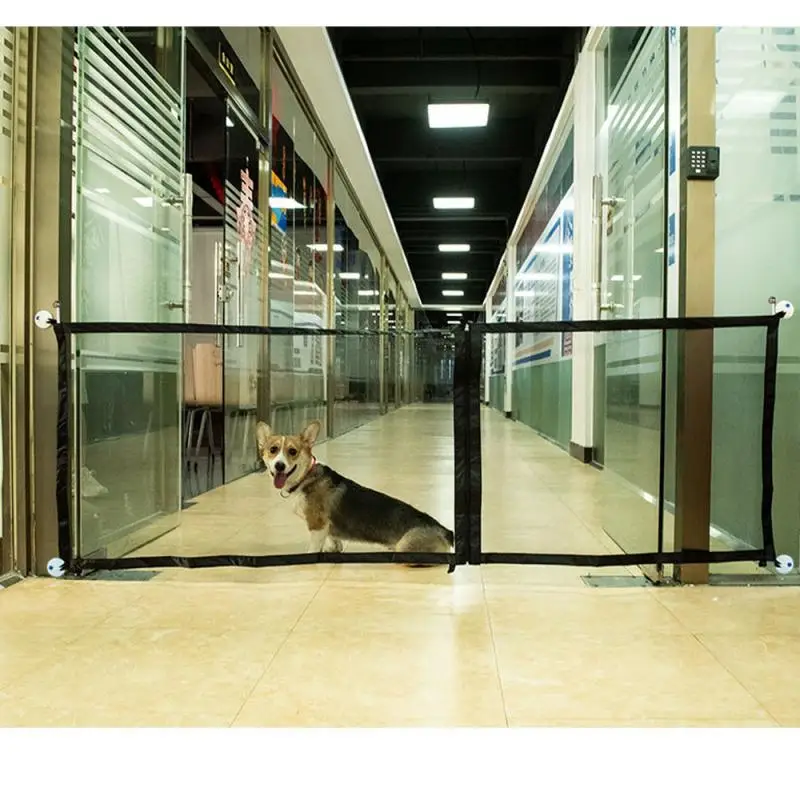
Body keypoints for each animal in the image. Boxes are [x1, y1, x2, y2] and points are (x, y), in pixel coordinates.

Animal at [255, 420, 453, 561]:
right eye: (273, 450)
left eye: (292, 451)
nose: (279, 466)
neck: (305, 477)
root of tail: (444, 530)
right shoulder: (325, 527)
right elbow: (333, 539)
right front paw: (333, 549)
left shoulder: (317, 525)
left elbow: (313, 549)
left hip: (404, 548)